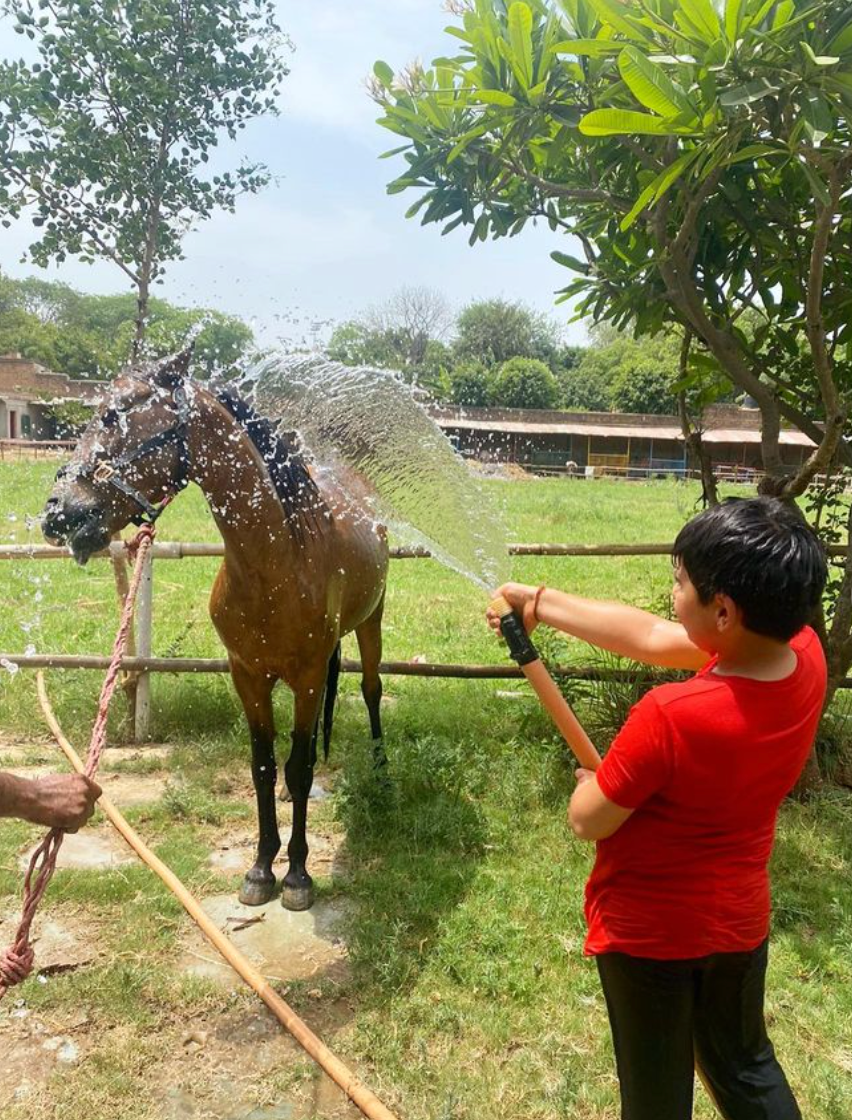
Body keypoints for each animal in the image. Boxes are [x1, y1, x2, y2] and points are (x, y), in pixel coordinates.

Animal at [39, 349, 385, 909]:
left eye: (116, 414)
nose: (57, 512)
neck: (278, 563)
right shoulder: (247, 675)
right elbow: (264, 767)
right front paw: (262, 869)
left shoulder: (309, 676)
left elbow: (300, 766)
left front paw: (298, 876)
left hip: (371, 623)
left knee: (372, 690)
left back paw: (381, 771)